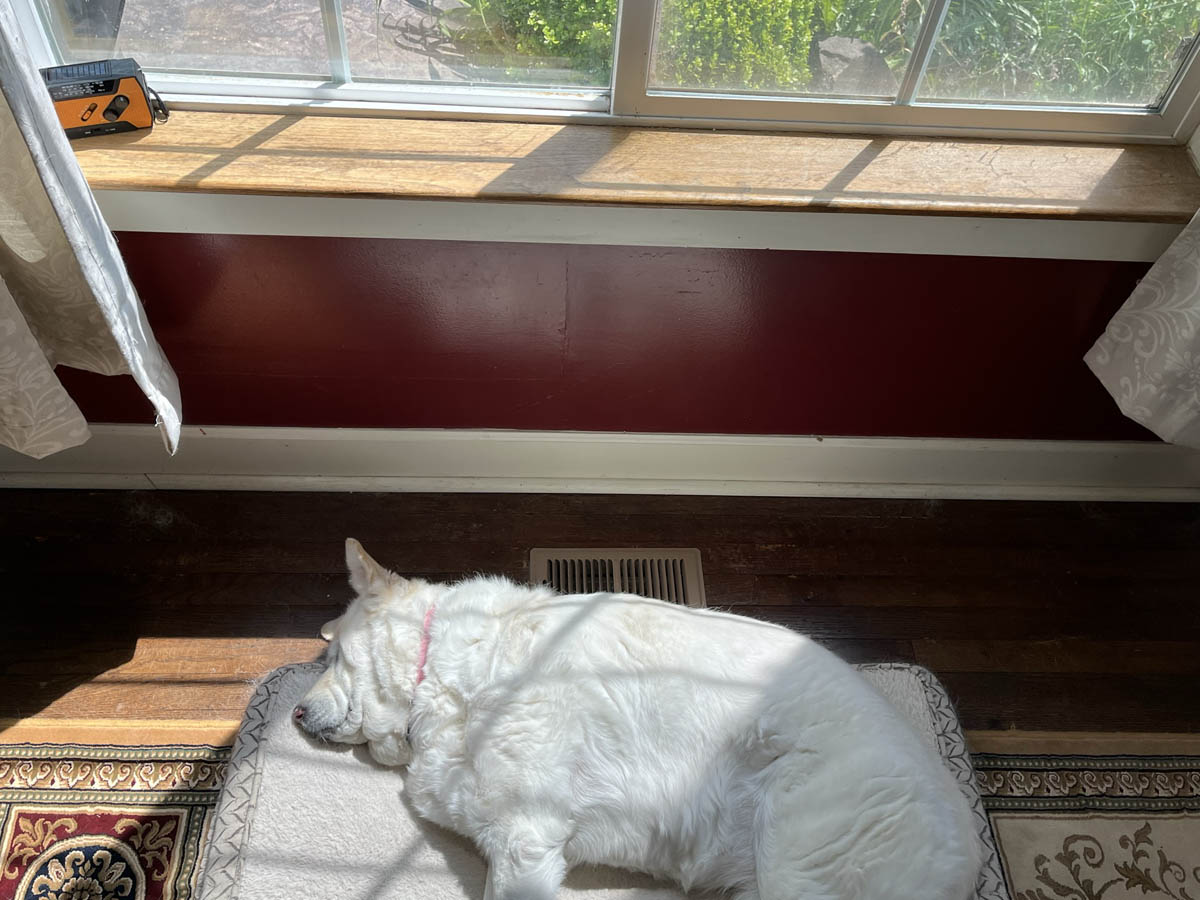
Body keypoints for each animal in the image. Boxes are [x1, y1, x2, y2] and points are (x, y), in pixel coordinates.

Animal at [296, 539, 982, 900]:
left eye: (332, 657)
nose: (296, 711)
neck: (438, 665)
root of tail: (968, 842)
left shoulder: (524, 842)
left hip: (802, 862)